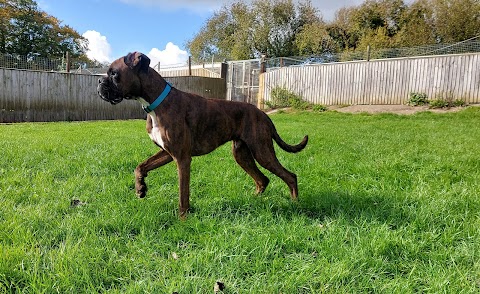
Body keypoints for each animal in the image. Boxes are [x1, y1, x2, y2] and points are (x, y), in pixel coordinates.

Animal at [97, 52, 308, 218]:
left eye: (114, 74)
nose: (99, 81)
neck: (156, 103)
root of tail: (263, 114)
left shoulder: (182, 159)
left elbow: (183, 194)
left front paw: (183, 219)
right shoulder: (167, 153)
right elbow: (140, 167)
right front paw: (140, 188)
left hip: (262, 152)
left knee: (290, 176)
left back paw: (295, 204)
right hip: (242, 155)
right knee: (263, 179)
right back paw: (253, 201)